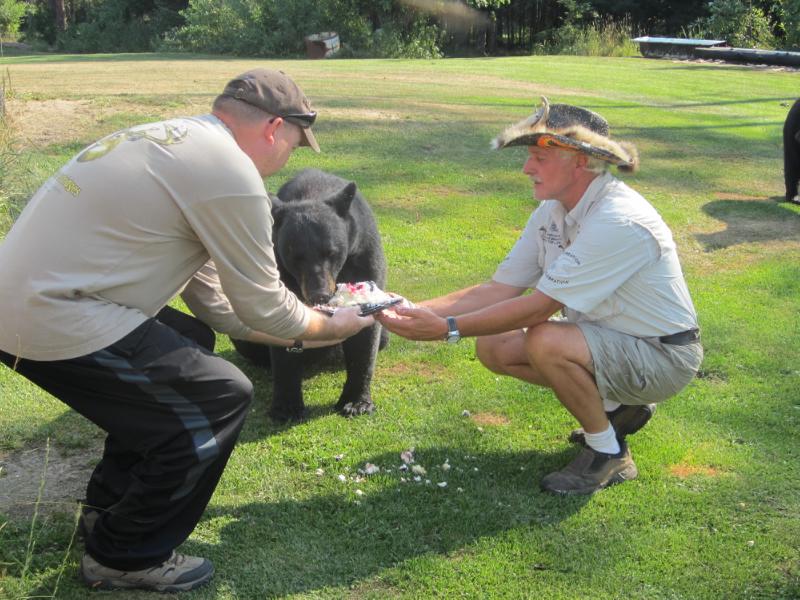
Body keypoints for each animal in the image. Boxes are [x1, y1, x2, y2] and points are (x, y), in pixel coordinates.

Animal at [231, 169, 388, 421]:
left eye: (331, 252)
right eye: (295, 256)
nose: (319, 295)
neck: (314, 192)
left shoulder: (364, 252)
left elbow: (366, 337)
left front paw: (356, 402)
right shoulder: (277, 261)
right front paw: (286, 407)